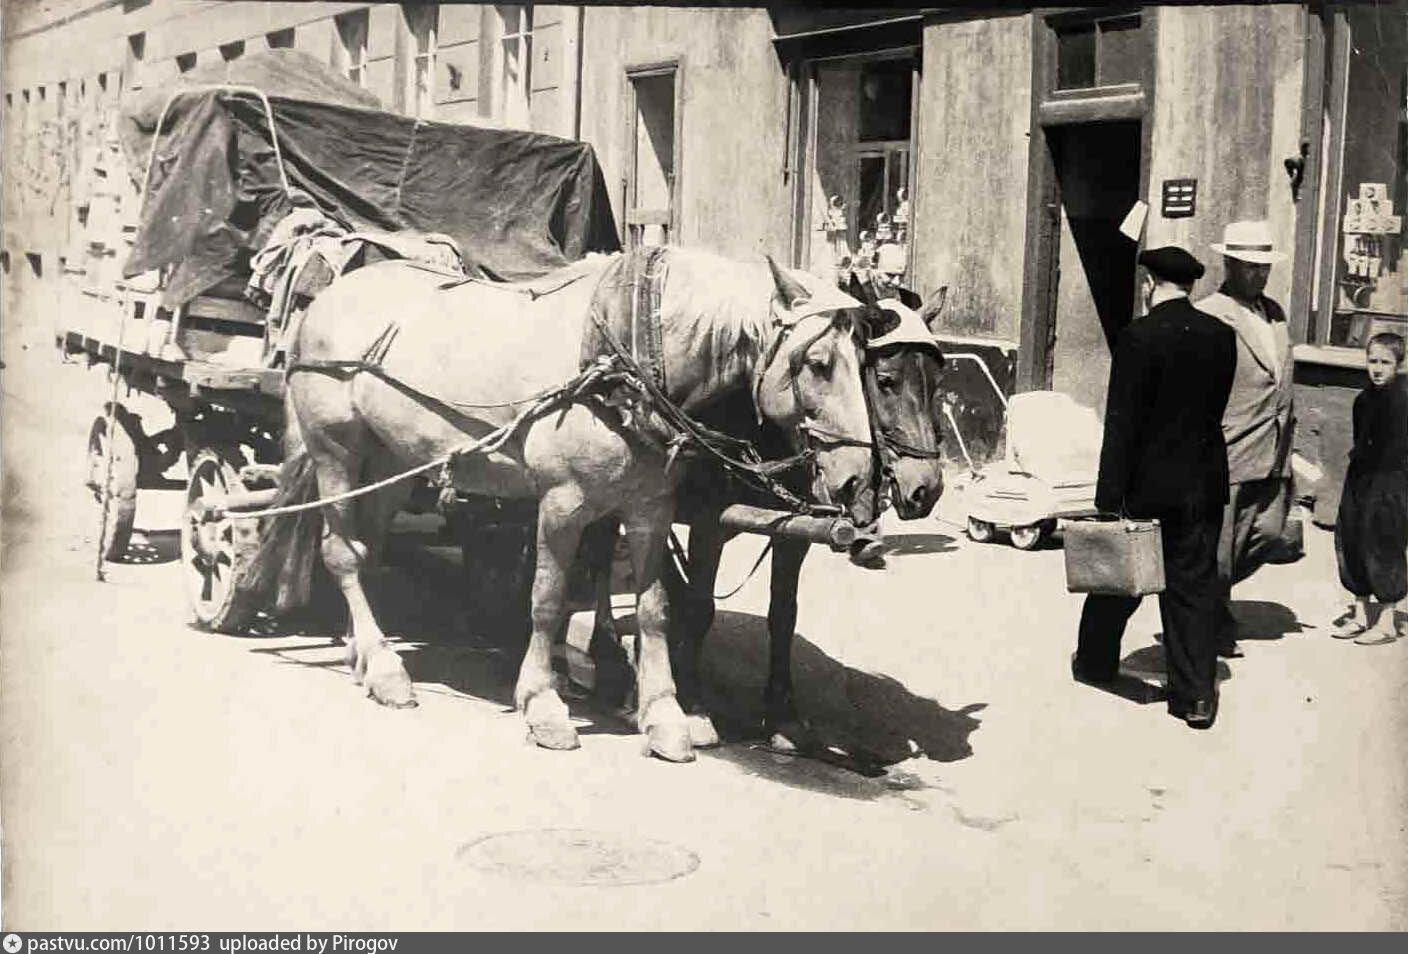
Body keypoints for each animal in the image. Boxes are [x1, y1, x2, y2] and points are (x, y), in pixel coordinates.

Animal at [250, 244, 867, 759]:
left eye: (864, 365)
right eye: (818, 364)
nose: (858, 479)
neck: (625, 359)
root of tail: (323, 301)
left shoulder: (650, 508)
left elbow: (655, 609)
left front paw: (663, 715)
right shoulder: (562, 505)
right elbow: (546, 600)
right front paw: (543, 706)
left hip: (392, 461)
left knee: (369, 544)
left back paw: (360, 651)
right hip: (336, 450)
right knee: (342, 552)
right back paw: (383, 666)